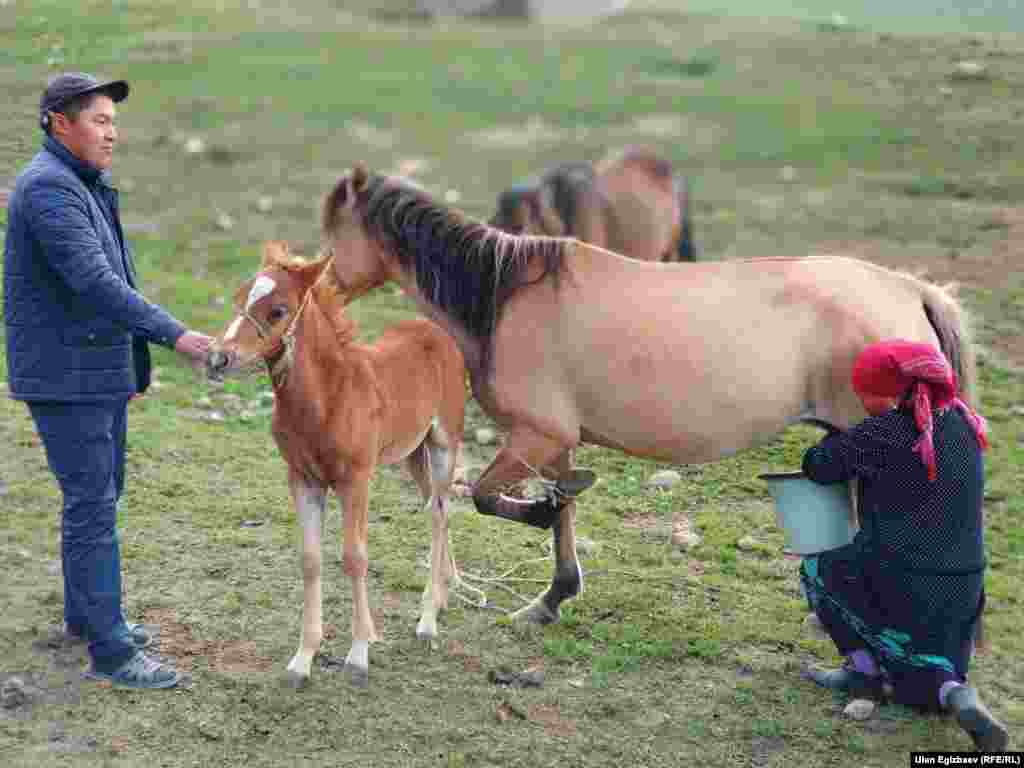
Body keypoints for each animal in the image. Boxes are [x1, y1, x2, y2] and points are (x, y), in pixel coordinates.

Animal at [204, 241, 475, 692]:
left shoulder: (356, 480)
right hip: (411, 453)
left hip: (442, 443)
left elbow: (354, 557)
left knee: (438, 513)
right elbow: (310, 559)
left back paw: (427, 619)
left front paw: (359, 654)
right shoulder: (303, 480)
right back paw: (445, 591)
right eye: (240, 297)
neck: (327, 399)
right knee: (439, 509)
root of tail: (437, 332)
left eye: (278, 311)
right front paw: (303, 659)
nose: (217, 358)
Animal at [317, 165, 974, 626]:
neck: (504, 297)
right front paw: (553, 596)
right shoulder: (556, 442)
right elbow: (562, 511)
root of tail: (908, 289)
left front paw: (541, 525)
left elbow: (486, 496)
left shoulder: (535, 436)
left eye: (332, 233)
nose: (319, 295)